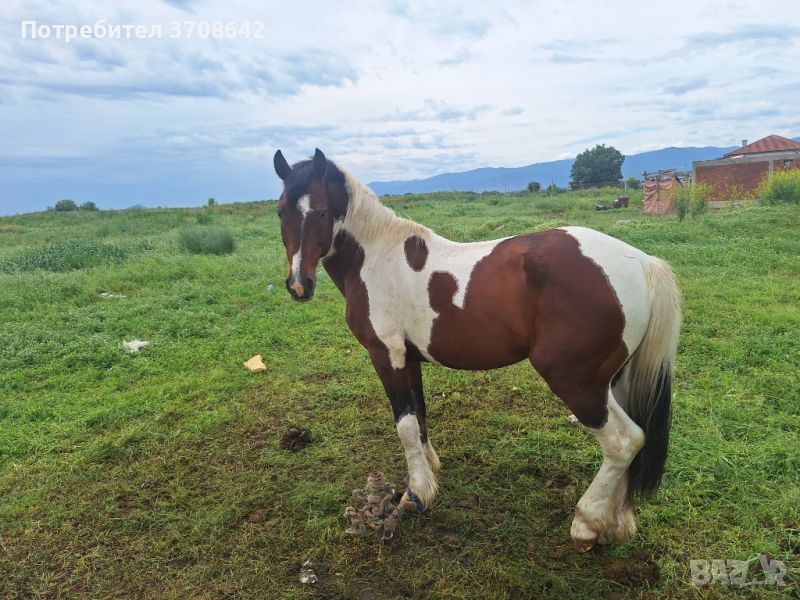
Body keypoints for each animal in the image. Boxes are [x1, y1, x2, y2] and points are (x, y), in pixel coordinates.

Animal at [272, 148, 680, 552]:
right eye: (280, 210)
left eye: (321, 211)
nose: (299, 285)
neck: (375, 258)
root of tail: (642, 263)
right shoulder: (410, 360)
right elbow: (420, 417)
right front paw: (430, 472)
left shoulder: (387, 357)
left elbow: (405, 425)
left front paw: (416, 493)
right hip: (614, 381)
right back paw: (617, 524)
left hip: (578, 383)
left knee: (625, 442)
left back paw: (587, 523)